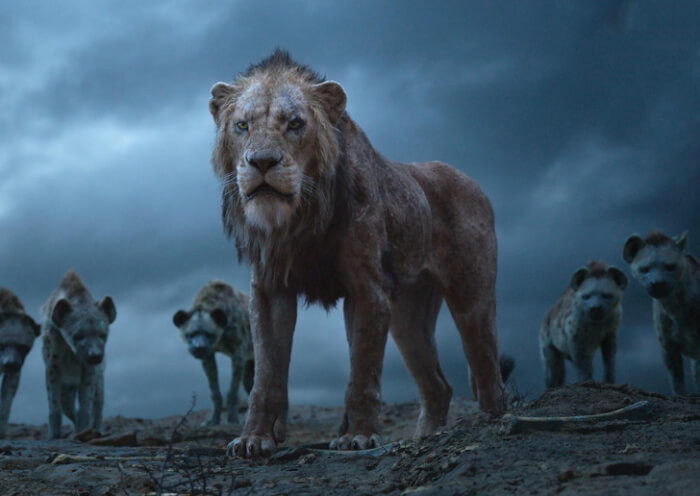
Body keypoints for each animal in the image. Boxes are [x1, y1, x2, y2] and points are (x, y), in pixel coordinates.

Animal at [209, 50, 506, 457]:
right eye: (242, 125)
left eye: (295, 124)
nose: (262, 162)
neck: (300, 218)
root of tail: (475, 184)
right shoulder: (269, 291)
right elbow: (266, 373)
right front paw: (255, 438)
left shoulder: (367, 288)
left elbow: (363, 369)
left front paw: (359, 436)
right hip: (408, 318)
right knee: (438, 385)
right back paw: (426, 437)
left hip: (471, 296)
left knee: (486, 364)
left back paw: (492, 423)